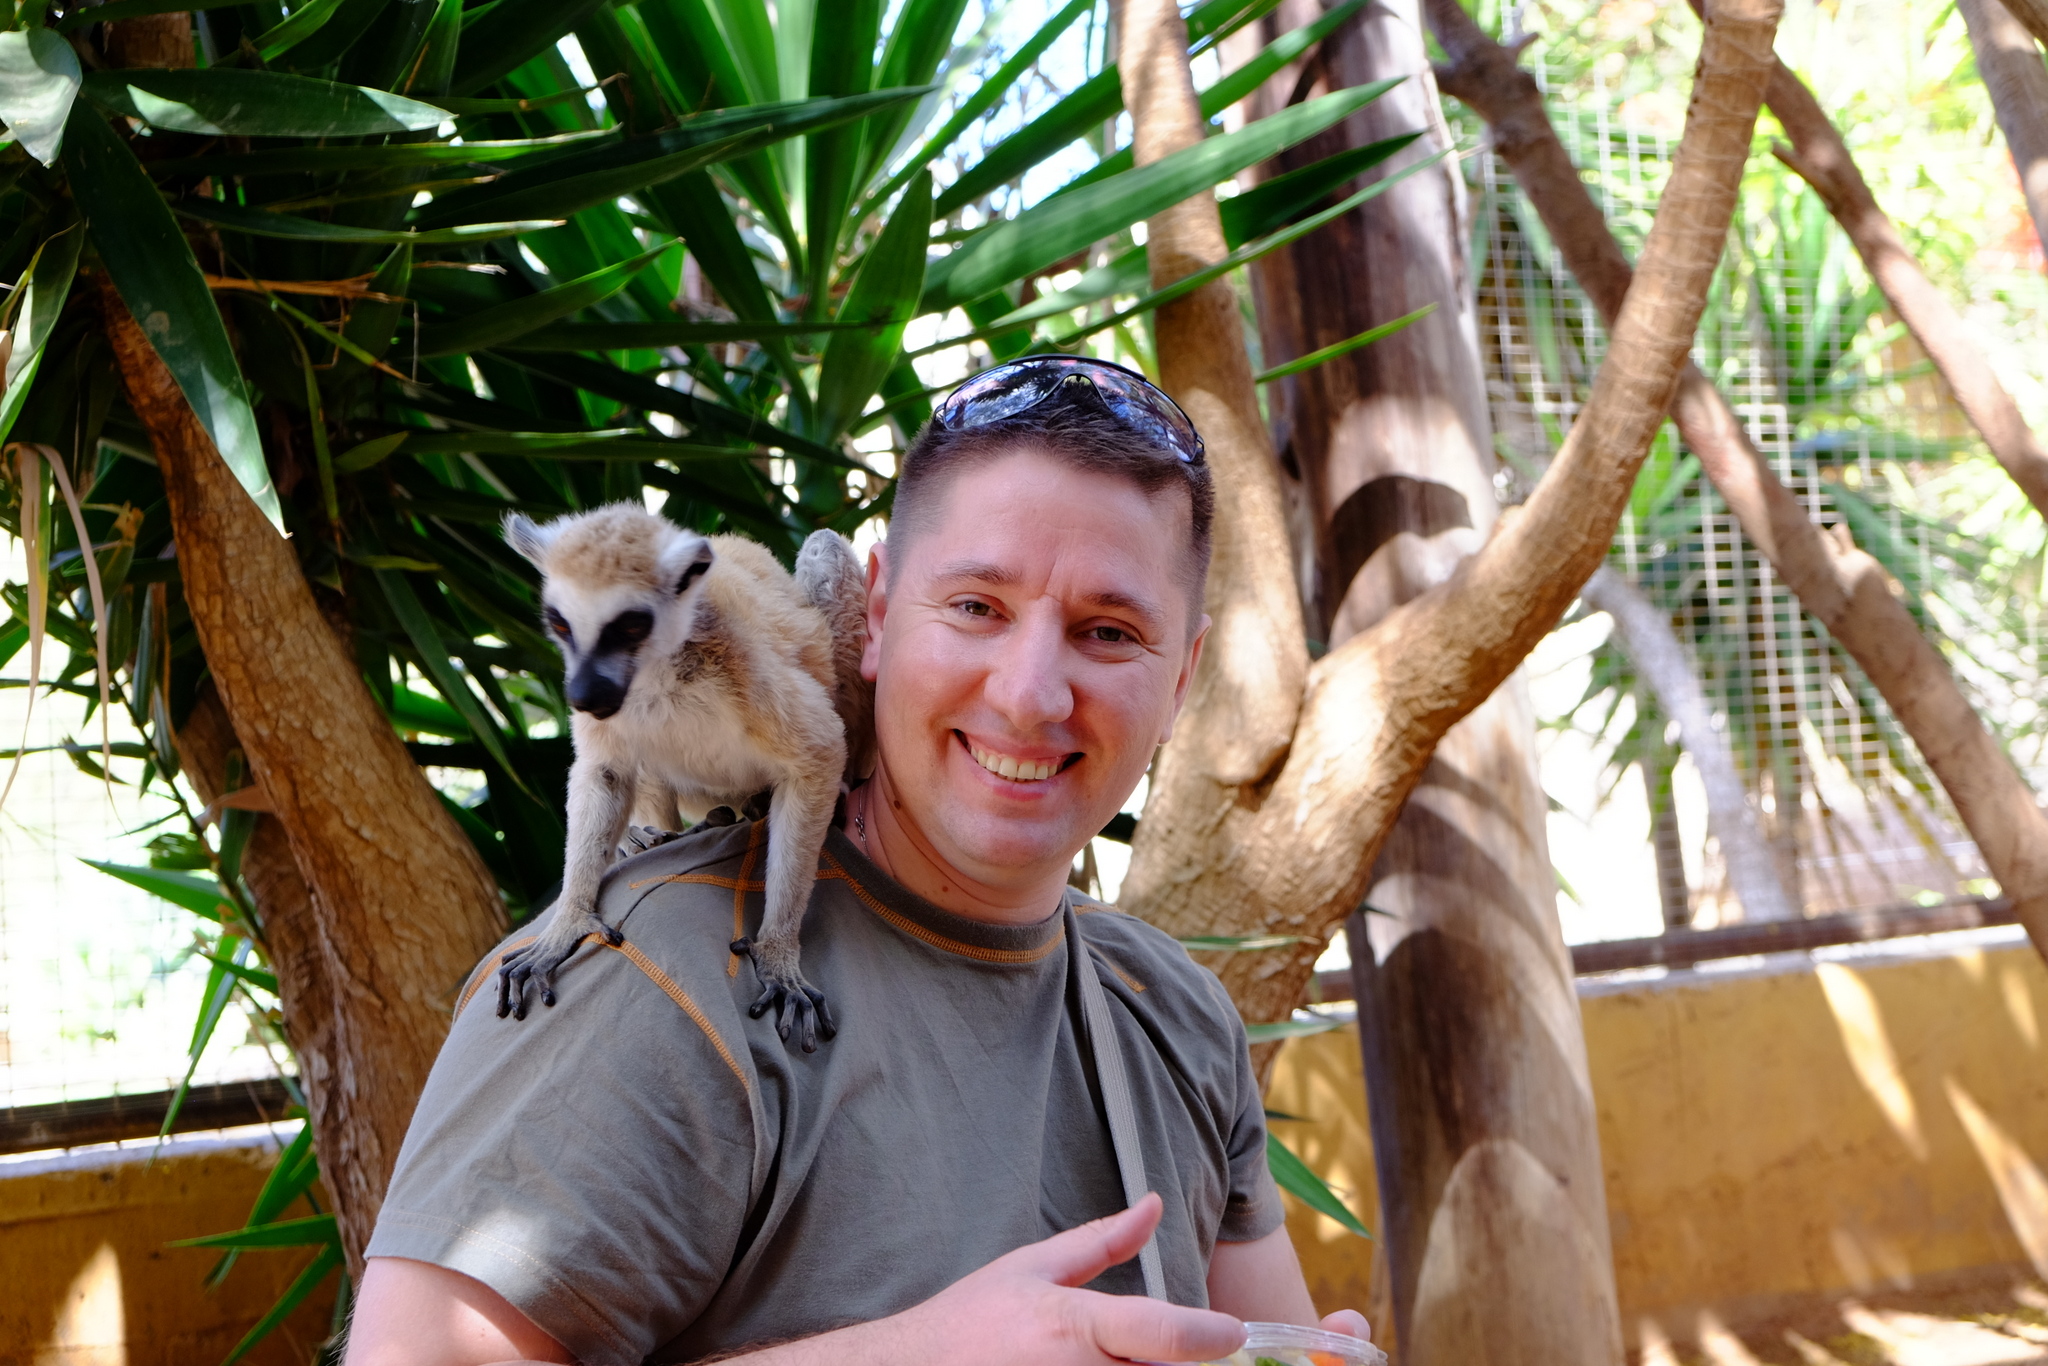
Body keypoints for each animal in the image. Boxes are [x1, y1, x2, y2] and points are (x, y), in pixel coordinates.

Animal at [496, 503, 870, 1051]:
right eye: (560, 625)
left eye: (630, 626)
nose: (584, 694)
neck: (657, 675)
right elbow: (605, 771)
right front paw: (567, 922)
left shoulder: (746, 669)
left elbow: (821, 754)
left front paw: (778, 953)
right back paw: (662, 834)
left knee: (825, 547)